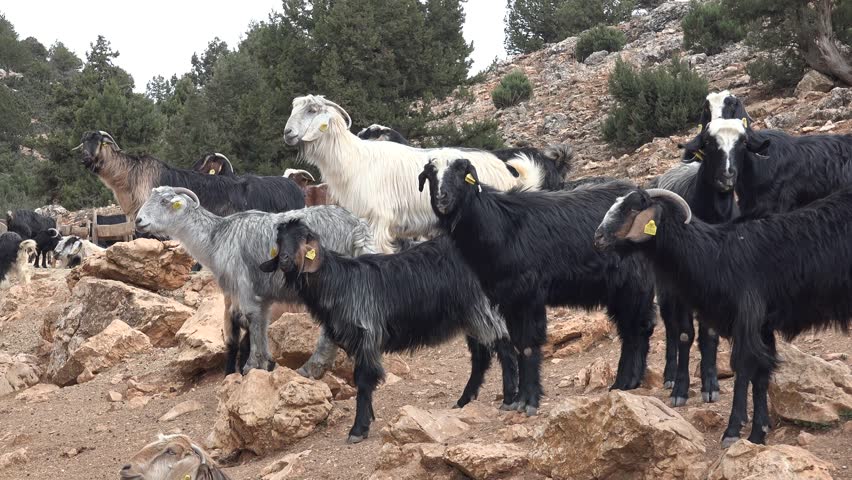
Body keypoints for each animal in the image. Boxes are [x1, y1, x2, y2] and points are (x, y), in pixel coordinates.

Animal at [136, 186, 375, 375]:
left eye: (165, 201)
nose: (139, 220)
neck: (216, 238)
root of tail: (357, 227)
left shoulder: (243, 283)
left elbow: (251, 317)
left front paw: (251, 364)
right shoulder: (263, 292)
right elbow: (262, 320)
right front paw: (266, 362)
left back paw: (311, 368)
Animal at [259, 220, 512, 443]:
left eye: (304, 239)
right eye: (280, 241)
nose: (285, 260)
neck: (339, 283)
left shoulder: (367, 333)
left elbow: (364, 379)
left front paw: (358, 429)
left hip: (484, 308)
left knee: (504, 345)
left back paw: (510, 399)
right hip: (471, 315)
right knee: (481, 355)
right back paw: (464, 401)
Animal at [420, 159, 657, 415]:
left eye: (460, 172)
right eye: (430, 174)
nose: (442, 197)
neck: (501, 224)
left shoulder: (528, 296)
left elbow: (529, 344)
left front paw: (528, 402)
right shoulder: (508, 300)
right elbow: (519, 344)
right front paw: (519, 400)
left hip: (634, 284)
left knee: (637, 328)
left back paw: (623, 382)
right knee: (631, 330)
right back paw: (627, 383)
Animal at [594, 186, 852, 447]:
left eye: (632, 208)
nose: (598, 238)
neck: (716, 256)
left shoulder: (747, 317)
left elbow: (744, 367)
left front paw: (734, 431)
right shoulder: (762, 327)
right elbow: (761, 373)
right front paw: (759, 433)